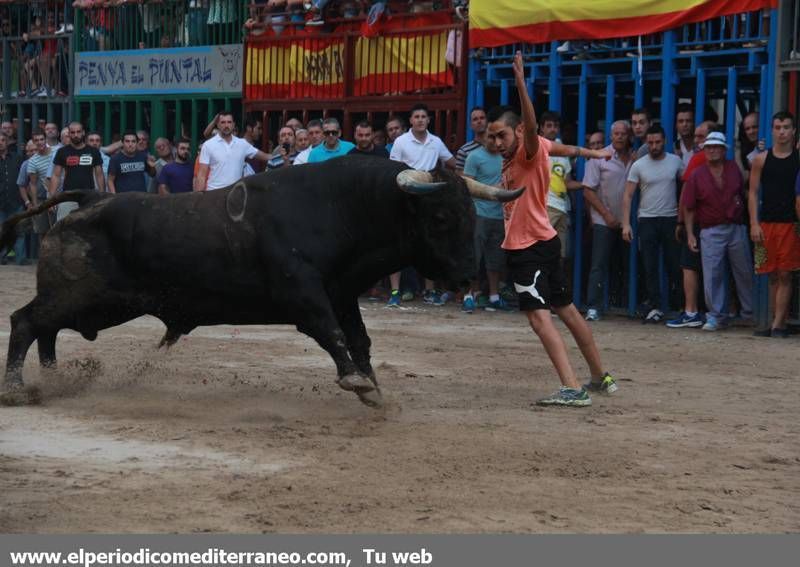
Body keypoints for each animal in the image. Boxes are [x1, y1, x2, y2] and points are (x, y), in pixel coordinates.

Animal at [0, 155, 520, 408]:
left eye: (471, 212)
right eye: (440, 216)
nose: (466, 274)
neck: (341, 206)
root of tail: (90, 197)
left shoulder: (342, 293)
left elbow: (358, 338)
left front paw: (372, 386)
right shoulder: (305, 295)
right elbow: (333, 335)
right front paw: (356, 382)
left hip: (96, 304)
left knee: (46, 329)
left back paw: (51, 380)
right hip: (83, 296)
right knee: (26, 321)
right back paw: (16, 390)